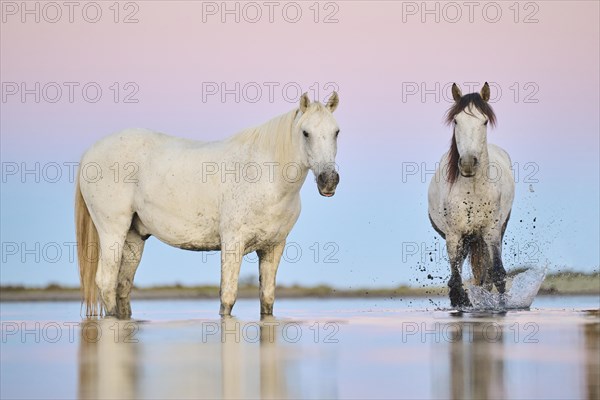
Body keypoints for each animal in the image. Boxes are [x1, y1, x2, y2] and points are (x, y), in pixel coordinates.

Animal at [74, 92, 342, 318]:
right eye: (305, 132)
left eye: (336, 131)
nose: (329, 180)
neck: (266, 177)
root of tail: (89, 153)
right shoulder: (233, 243)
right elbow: (227, 298)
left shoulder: (273, 247)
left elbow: (267, 301)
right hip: (112, 232)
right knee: (106, 282)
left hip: (134, 237)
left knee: (122, 287)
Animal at [426, 83, 516, 308]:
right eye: (456, 120)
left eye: (484, 121)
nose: (467, 163)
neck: (473, 189)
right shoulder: (454, 235)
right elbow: (456, 281)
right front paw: (461, 301)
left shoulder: (492, 231)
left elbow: (497, 273)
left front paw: (500, 305)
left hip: (493, 232)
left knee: (487, 272)